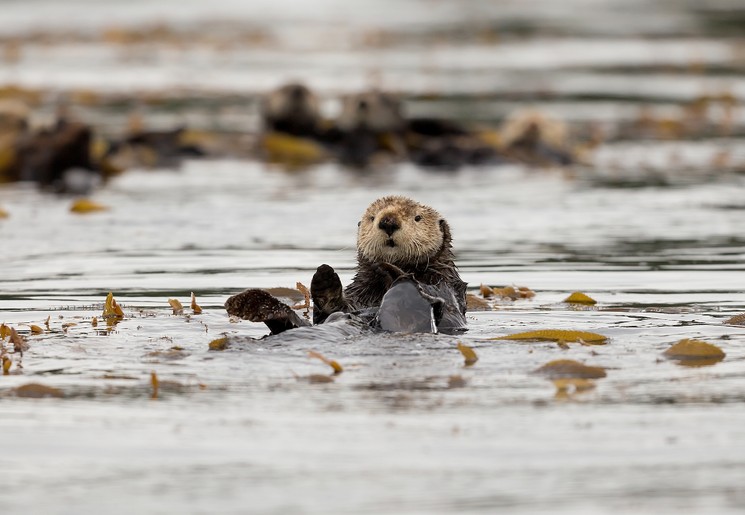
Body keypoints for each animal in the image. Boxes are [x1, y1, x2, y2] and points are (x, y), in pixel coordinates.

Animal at [225, 195, 468, 335]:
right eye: (372, 217)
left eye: (417, 218)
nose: (388, 221)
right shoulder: (357, 296)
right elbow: (334, 309)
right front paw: (325, 281)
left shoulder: (445, 285)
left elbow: (449, 307)